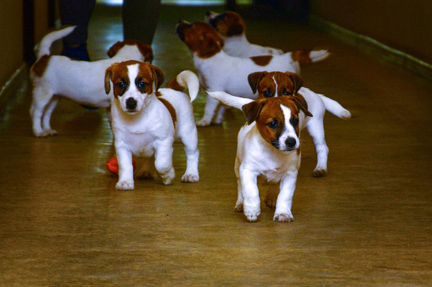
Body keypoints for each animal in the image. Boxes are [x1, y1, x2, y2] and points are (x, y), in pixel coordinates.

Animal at [104, 61, 201, 191]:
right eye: (121, 84)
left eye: (142, 84)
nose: (131, 102)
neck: (137, 119)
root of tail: (173, 89)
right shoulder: (122, 145)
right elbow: (125, 165)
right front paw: (125, 181)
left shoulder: (163, 141)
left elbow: (161, 163)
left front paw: (168, 175)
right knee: (149, 157)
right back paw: (146, 171)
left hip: (189, 135)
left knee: (192, 154)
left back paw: (191, 174)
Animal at [176, 20, 328, 127]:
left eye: (191, 26)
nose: (179, 21)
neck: (210, 57)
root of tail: (289, 56)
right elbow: (222, 106)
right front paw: (218, 120)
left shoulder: (213, 90)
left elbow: (210, 108)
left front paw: (204, 121)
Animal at [208, 71, 352, 178]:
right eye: (266, 92)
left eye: (286, 92)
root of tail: (316, 94)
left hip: (316, 126)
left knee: (322, 147)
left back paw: (320, 167)